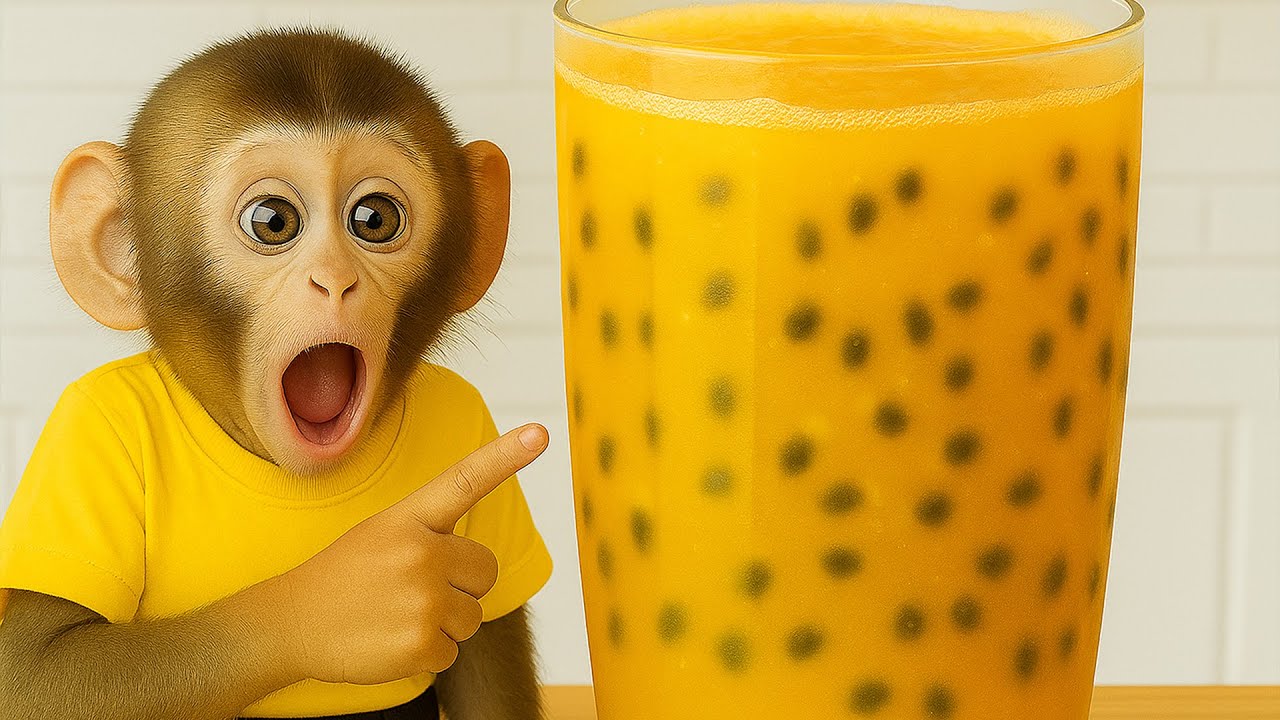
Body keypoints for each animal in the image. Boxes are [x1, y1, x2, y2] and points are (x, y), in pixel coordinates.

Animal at [0, 28, 553, 720]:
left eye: (375, 219)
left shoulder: (472, 413)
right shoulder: (89, 423)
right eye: (273, 221)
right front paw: (345, 600)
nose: (335, 279)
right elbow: (31, 674)